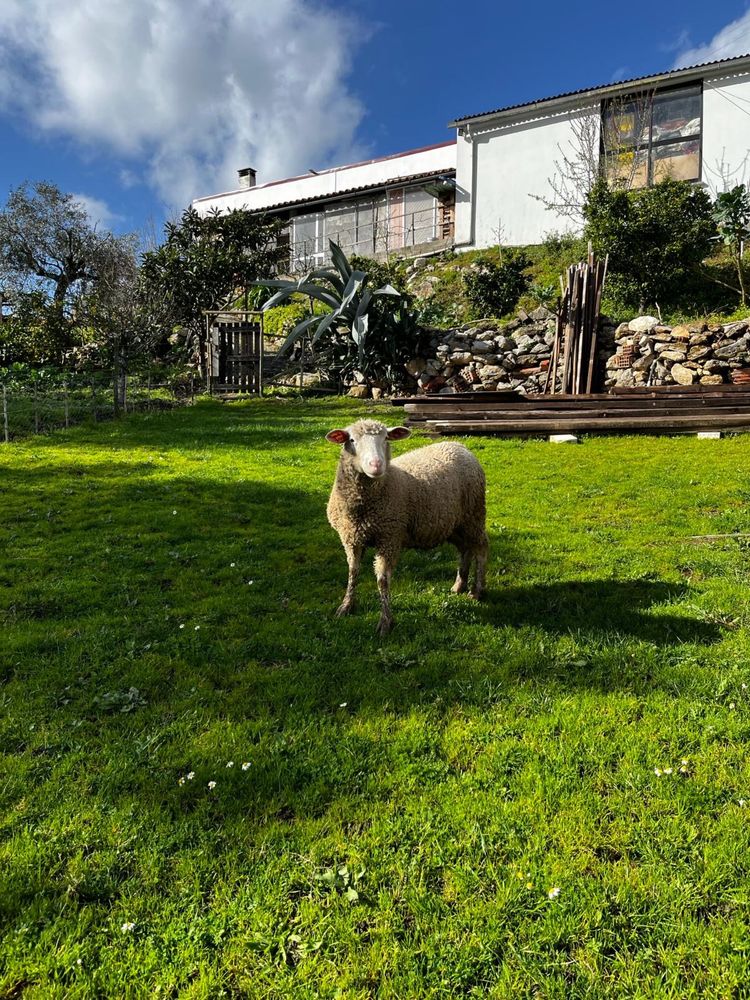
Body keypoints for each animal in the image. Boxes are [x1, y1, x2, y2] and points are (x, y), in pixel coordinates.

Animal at [326, 420, 490, 636]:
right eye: (351, 440)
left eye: (386, 438)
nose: (376, 465)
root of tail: (459, 446)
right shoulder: (351, 538)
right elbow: (353, 572)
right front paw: (346, 606)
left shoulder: (389, 536)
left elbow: (382, 580)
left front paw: (386, 622)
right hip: (454, 523)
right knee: (465, 550)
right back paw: (459, 585)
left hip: (474, 515)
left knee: (481, 548)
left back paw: (477, 590)